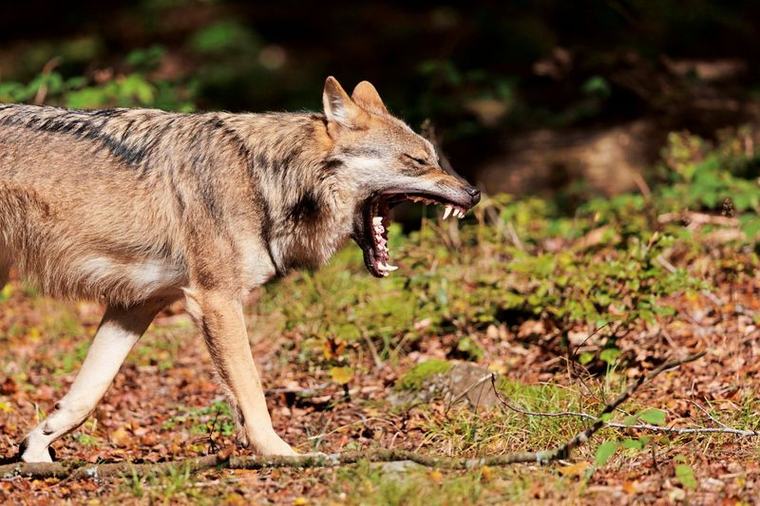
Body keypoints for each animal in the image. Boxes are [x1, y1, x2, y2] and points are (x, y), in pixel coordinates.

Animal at [0, 77, 480, 462]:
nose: (474, 193)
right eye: (417, 161)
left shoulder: (136, 305)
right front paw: (283, 456)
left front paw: (36, 451)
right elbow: (252, 391)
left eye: (432, 156)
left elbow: (85, 396)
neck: (264, 179)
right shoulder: (216, 301)